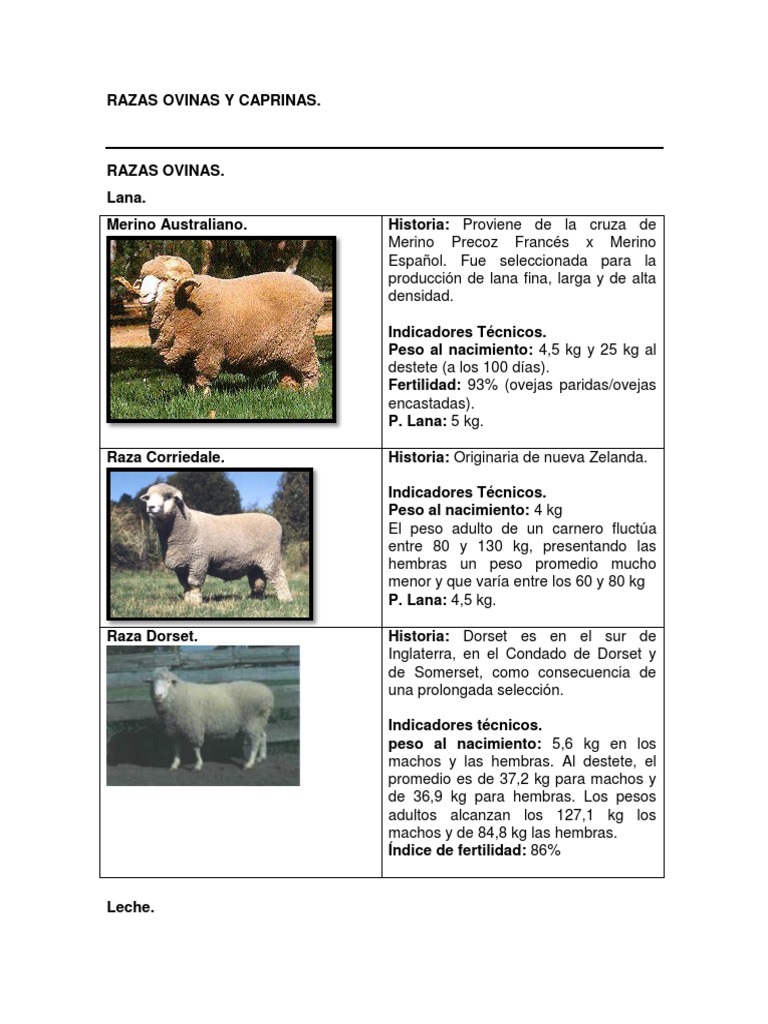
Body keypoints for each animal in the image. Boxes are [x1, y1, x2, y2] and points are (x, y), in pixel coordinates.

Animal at [136, 254, 323, 394]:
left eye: (164, 279)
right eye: (144, 278)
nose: (142, 296)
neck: (187, 301)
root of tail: (317, 293)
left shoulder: (209, 349)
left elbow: (204, 376)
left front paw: (205, 398)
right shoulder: (185, 358)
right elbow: (188, 381)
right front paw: (190, 397)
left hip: (301, 341)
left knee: (311, 368)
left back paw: (310, 392)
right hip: (286, 347)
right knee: (288, 370)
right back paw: (287, 390)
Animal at [140, 482, 292, 605]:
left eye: (167, 497)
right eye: (149, 497)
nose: (150, 507)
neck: (186, 524)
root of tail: (276, 522)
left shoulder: (198, 560)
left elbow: (194, 583)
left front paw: (196, 603)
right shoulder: (182, 565)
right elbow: (185, 585)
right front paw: (188, 601)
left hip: (270, 556)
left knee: (279, 577)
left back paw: (286, 600)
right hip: (255, 563)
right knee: (258, 581)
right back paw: (256, 599)